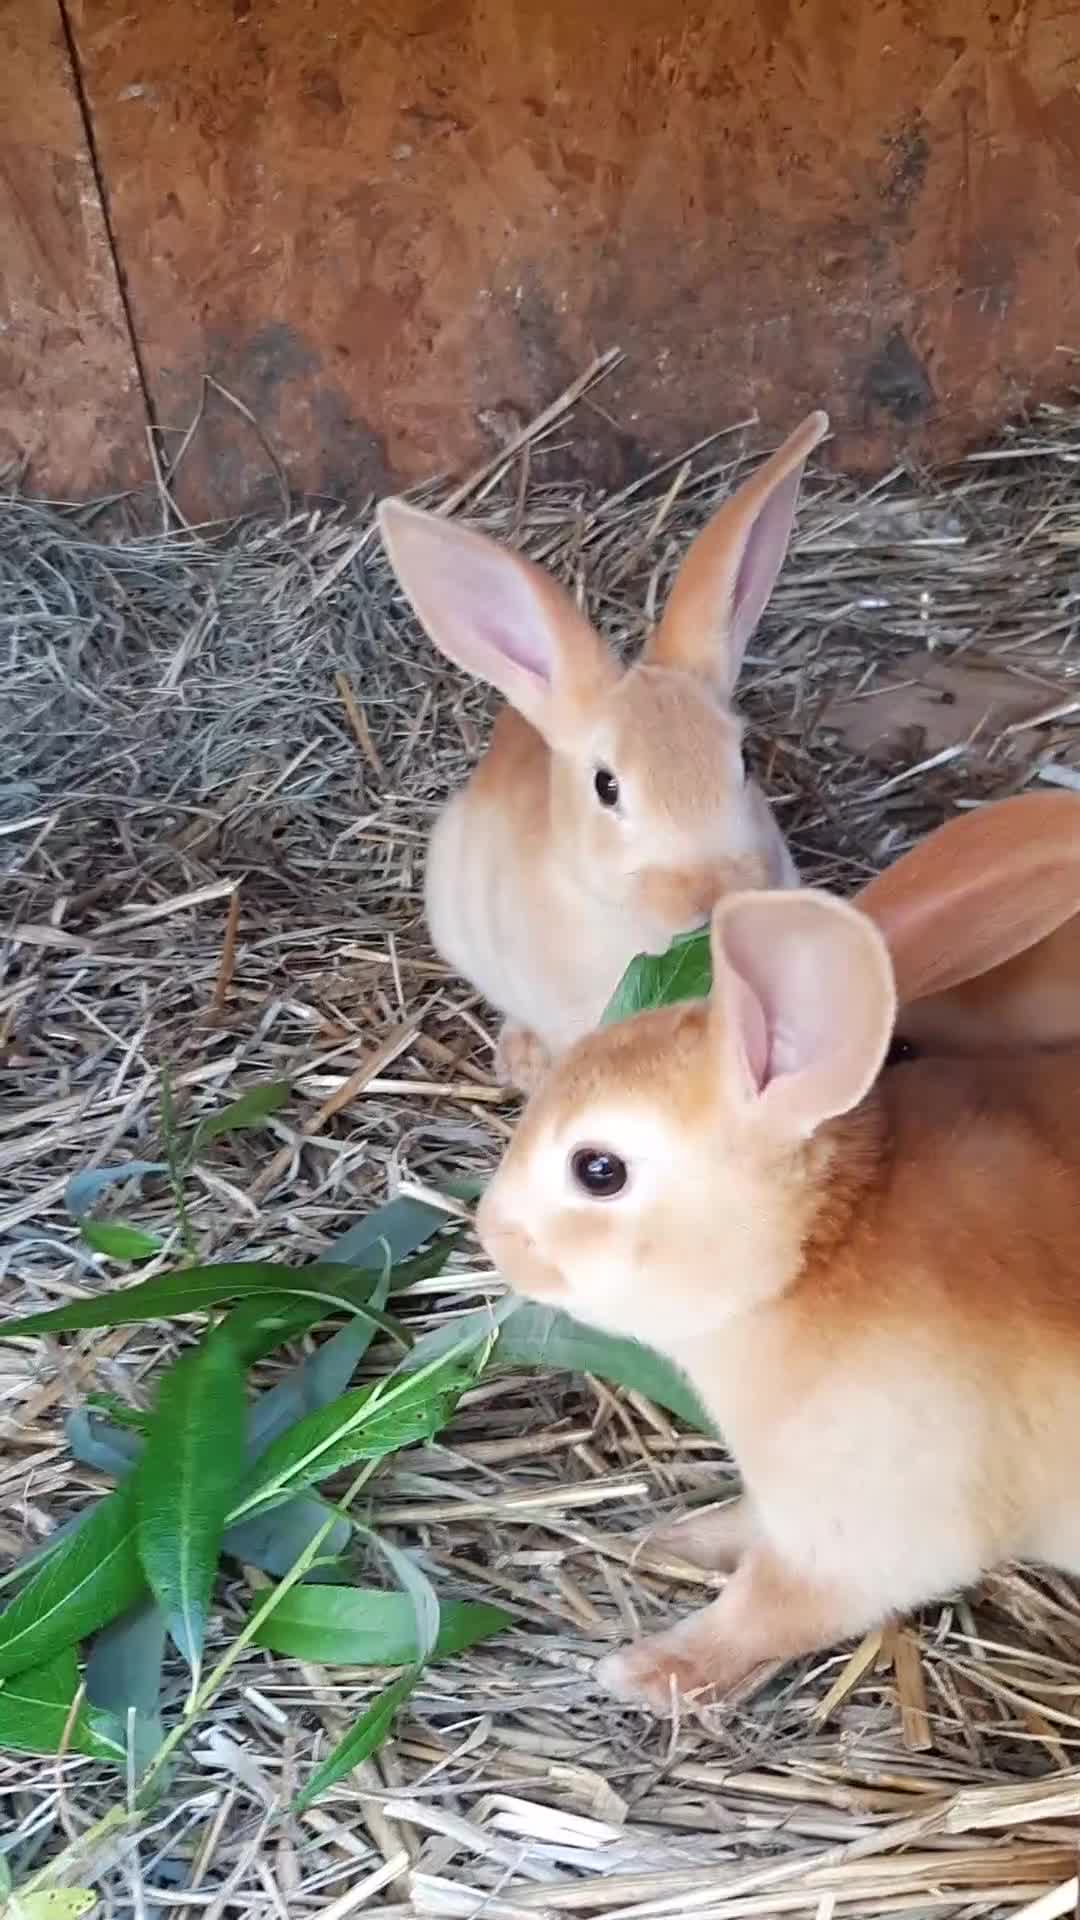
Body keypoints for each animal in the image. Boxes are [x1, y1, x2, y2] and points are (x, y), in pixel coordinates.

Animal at [477, 883, 1080, 1715]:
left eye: (598, 1170)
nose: (488, 1231)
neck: (819, 1250)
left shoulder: (859, 1534)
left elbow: (763, 1612)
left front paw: (647, 1670)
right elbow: (741, 1526)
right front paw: (669, 1539)